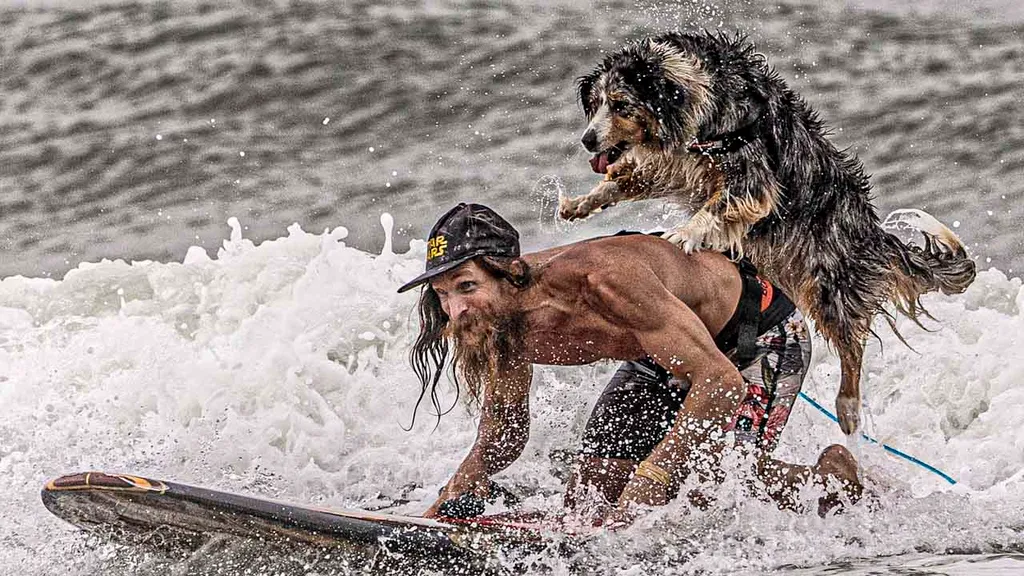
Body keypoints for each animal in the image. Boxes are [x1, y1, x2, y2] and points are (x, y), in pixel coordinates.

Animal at [561, 31, 974, 432]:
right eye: (596, 103)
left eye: (621, 105)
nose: (587, 139)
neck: (695, 98)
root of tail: (872, 234)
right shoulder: (676, 163)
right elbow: (628, 179)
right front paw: (581, 202)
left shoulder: (753, 178)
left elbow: (716, 206)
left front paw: (684, 234)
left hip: (829, 284)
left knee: (851, 345)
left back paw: (848, 407)